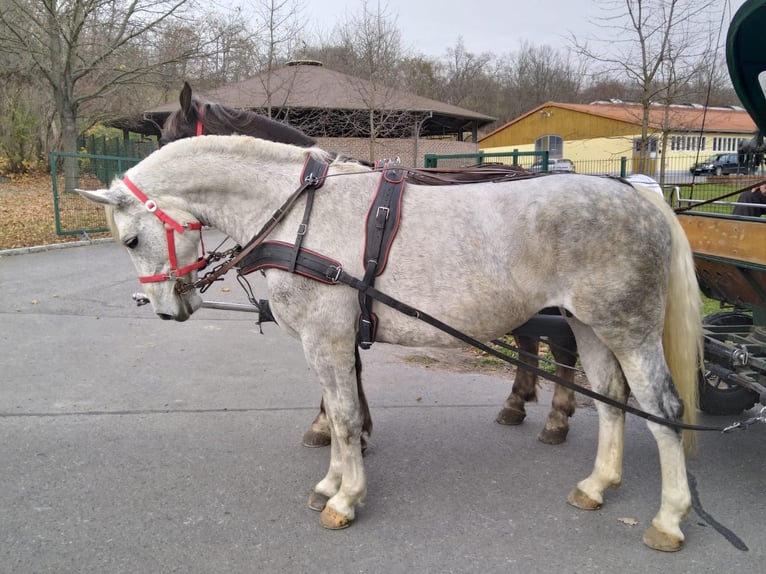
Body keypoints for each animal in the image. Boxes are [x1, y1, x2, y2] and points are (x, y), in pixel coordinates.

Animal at [77, 135, 703, 551]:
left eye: (131, 240)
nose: (166, 308)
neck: (299, 213)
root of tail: (639, 195)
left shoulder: (328, 338)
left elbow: (346, 415)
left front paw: (345, 498)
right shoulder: (326, 341)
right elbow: (337, 413)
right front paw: (331, 481)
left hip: (628, 328)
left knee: (662, 410)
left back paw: (669, 519)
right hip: (590, 325)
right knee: (612, 399)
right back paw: (597, 485)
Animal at [161, 82, 579, 446]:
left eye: (165, 145)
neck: (302, 198)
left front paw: (340, 428)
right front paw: (342, 425)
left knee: (562, 348)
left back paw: (556, 420)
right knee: (529, 339)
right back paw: (517, 403)